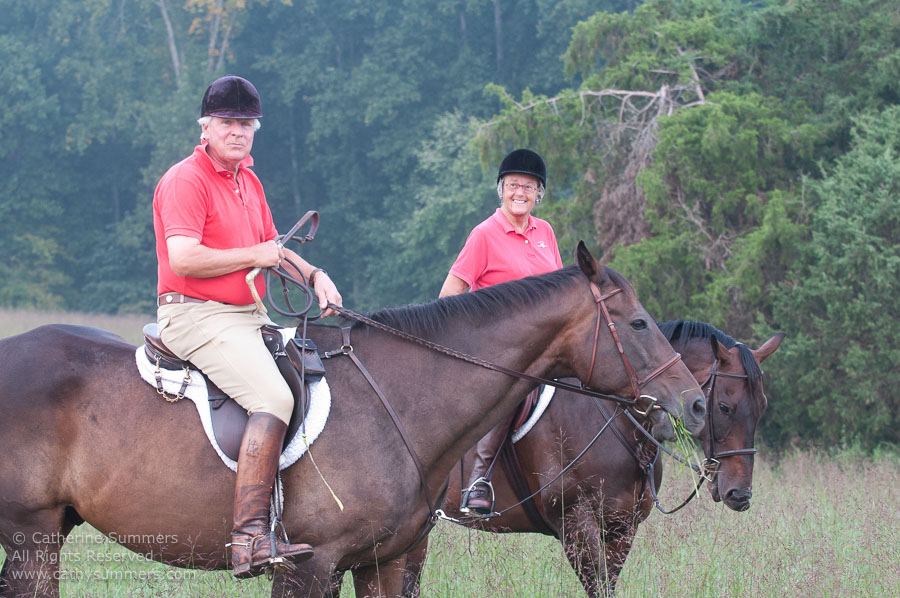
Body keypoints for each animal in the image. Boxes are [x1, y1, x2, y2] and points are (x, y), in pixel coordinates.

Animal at [0, 244, 712, 598]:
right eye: (638, 323)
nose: (696, 404)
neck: (399, 398)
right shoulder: (309, 569)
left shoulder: (385, 563)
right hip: (31, 535)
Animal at [384, 322, 784, 596]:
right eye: (724, 406)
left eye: (762, 407)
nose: (739, 494)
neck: (619, 422)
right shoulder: (575, 524)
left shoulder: (622, 529)